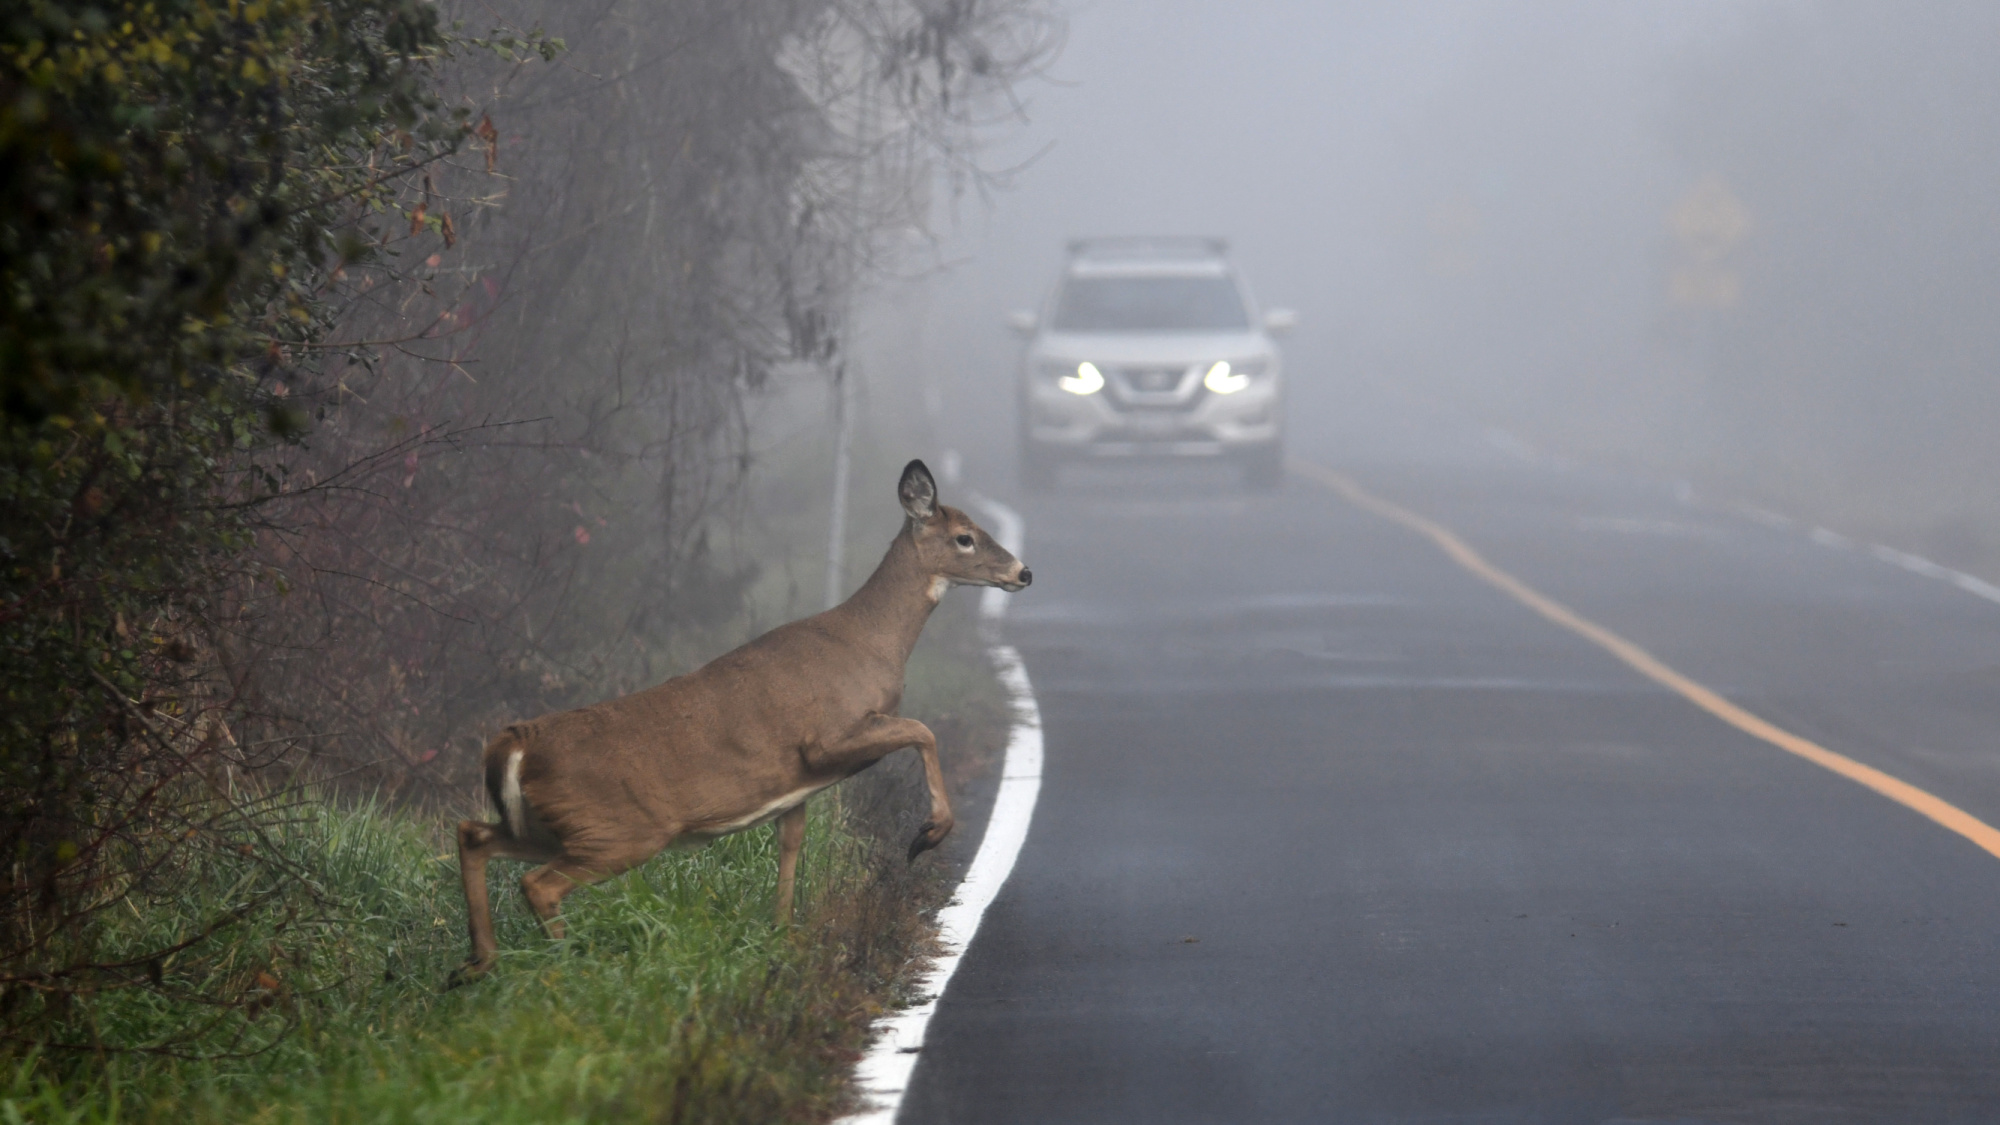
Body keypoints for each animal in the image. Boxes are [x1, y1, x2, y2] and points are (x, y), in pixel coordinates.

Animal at [452, 460, 1032, 976]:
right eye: (964, 537)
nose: (1023, 572)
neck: (872, 643)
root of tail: (514, 743)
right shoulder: (823, 737)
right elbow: (922, 729)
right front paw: (929, 834)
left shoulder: (796, 788)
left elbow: (791, 848)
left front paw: (782, 936)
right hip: (619, 829)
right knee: (538, 883)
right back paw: (564, 967)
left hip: (555, 825)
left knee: (474, 835)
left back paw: (479, 965)